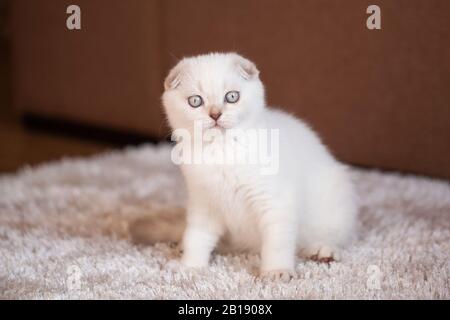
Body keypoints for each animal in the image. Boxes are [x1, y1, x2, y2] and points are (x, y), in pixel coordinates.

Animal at [132, 52, 356, 280]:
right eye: (195, 101)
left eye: (232, 97)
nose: (215, 114)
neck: (222, 151)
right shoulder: (204, 202)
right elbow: (197, 237)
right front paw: (190, 267)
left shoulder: (274, 201)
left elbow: (277, 241)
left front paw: (276, 271)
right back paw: (182, 245)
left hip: (334, 200)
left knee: (334, 235)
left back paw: (323, 251)